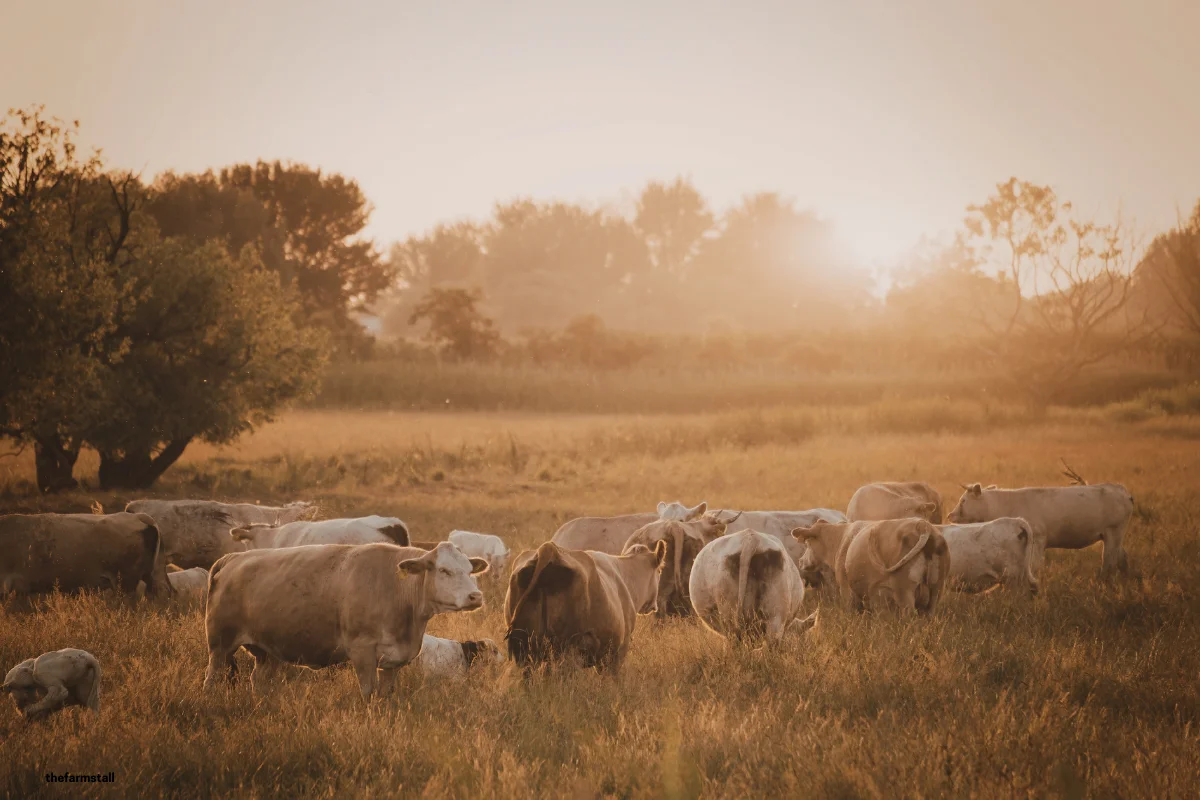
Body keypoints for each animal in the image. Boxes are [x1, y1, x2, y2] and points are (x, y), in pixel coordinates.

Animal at [203, 542, 488, 700]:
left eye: (469, 570)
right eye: (444, 570)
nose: (475, 596)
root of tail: (232, 558)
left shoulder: (393, 659)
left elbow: (385, 695)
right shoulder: (362, 651)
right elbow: (368, 692)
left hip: (268, 650)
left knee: (258, 679)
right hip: (220, 643)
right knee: (212, 676)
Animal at [792, 518, 950, 614]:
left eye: (808, 543)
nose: (800, 561)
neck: (842, 539)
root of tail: (923, 525)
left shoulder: (847, 590)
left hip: (904, 592)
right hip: (936, 590)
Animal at [947, 482, 1134, 575]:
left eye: (963, 500)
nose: (950, 515)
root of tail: (1122, 490)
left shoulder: (1037, 540)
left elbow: (1034, 566)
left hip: (1113, 533)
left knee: (1110, 563)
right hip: (1114, 537)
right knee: (1122, 559)